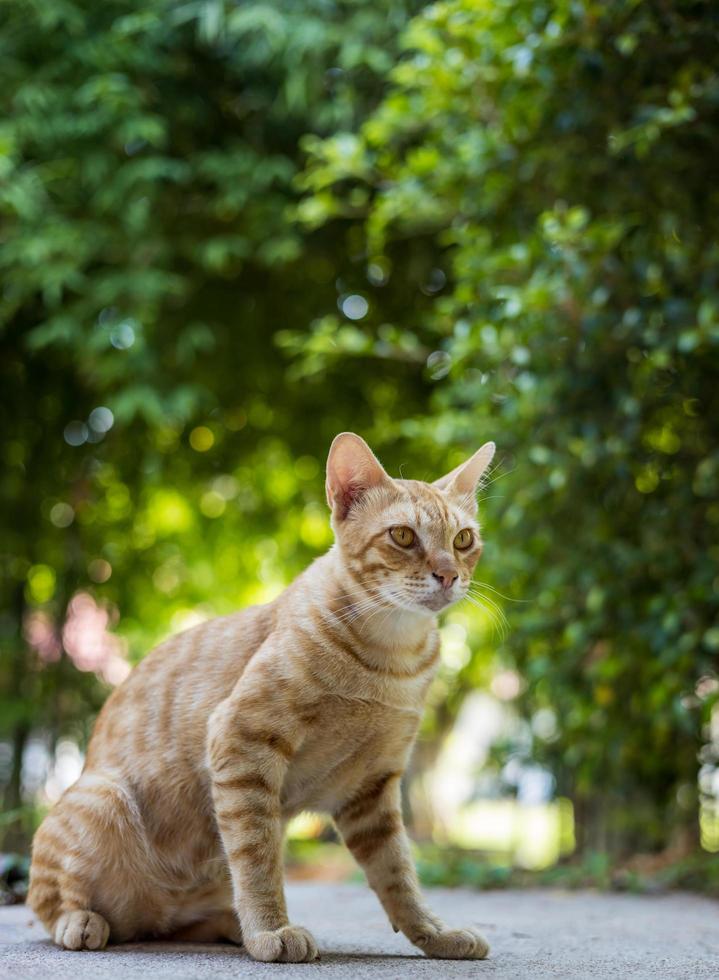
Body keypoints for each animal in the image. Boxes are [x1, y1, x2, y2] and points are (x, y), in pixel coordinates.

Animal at [31, 432, 498, 960]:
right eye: (402, 536)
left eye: (463, 540)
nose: (448, 574)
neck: (391, 659)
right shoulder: (242, 742)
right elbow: (257, 858)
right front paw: (272, 930)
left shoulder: (373, 785)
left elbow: (398, 873)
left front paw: (434, 933)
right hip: (101, 797)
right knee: (47, 899)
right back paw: (82, 921)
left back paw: (230, 927)